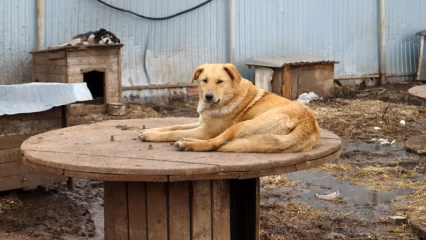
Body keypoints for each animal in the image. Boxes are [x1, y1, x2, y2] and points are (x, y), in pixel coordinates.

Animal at [140, 63, 320, 154]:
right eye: (204, 80)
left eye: (220, 81)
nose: (209, 96)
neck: (229, 97)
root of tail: (308, 125)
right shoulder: (200, 123)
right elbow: (173, 126)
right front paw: (151, 130)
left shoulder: (205, 131)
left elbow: (173, 132)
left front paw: (150, 135)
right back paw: (187, 140)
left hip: (240, 125)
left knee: (214, 144)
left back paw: (187, 144)